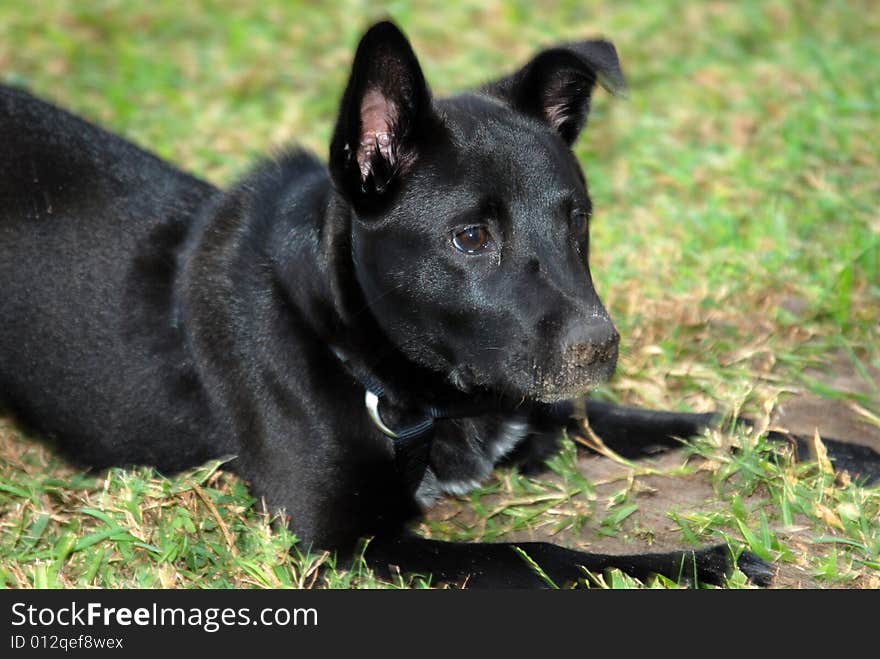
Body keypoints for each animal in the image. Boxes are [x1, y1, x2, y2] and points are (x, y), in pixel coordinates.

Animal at [3, 20, 872, 588]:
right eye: (470, 236)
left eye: (577, 218)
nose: (599, 346)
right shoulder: (346, 542)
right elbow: (541, 553)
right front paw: (698, 562)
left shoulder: (544, 413)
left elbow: (711, 420)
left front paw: (849, 453)